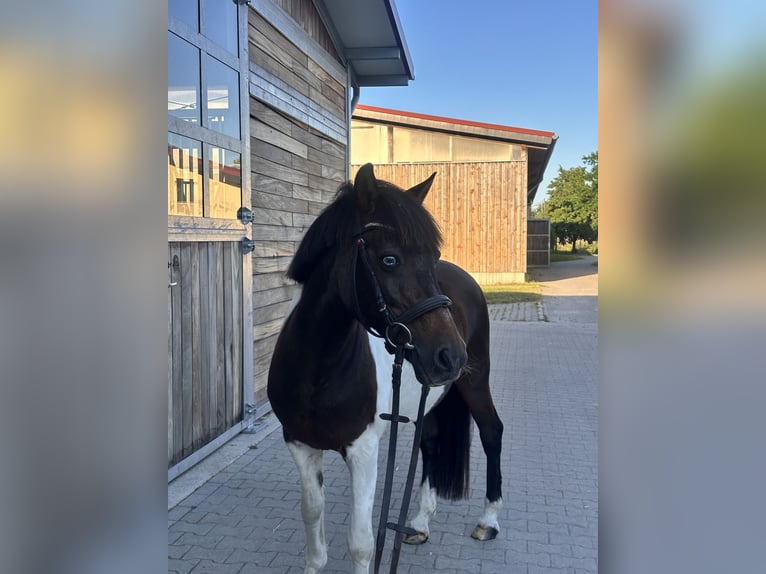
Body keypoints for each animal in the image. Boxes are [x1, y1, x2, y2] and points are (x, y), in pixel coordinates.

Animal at [267, 163, 504, 573]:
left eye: (432, 256)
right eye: (389, 259)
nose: (451, 356)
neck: (317, 372)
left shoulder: (363, 451)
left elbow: (362, 543)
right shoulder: (299, 445)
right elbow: (312, 518)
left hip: (476, 383)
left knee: (492, 432)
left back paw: (488, 522)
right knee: (430, 442)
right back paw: (420, 523)